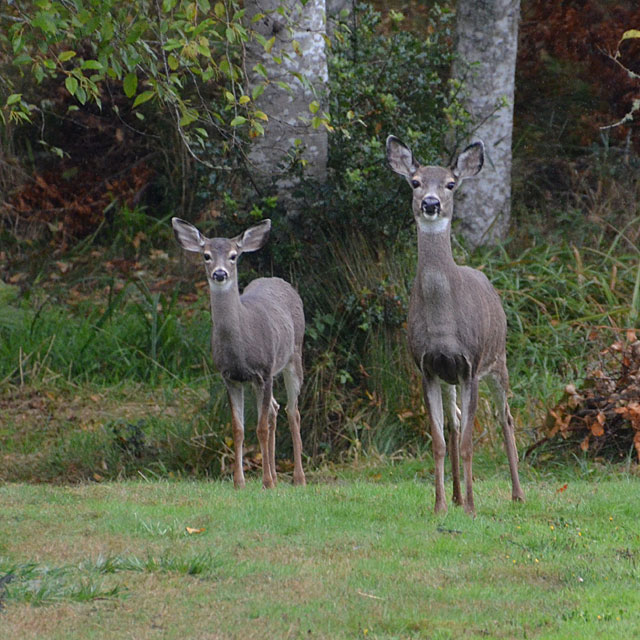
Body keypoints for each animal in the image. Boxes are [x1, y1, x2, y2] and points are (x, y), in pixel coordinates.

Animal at [171, 218, 306, 488]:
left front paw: (266, 482)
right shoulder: (230, 377)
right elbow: (238, 428)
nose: (220, 273)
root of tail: (278, 280)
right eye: (206, 255)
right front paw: (239, 482)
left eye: (234, 256)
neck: (240, 348)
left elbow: (260, 428)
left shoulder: (264, 371)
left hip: (294, 355)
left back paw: (298, 478)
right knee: (275, 409)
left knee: (292, 411)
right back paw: (277, 474)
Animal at [384, 135, 524, 516]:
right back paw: (459, 495)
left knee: (505, 417)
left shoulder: (471, 365)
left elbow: (468, 443)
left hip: (499, 359)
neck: (443, 322)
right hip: (452, 379)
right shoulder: (428, 367)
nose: (431, 203)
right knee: (455, 420)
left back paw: (517, 494)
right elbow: (440, 440)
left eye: (450, 184)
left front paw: (473, 509)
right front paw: (441, 506)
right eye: (415, 182)